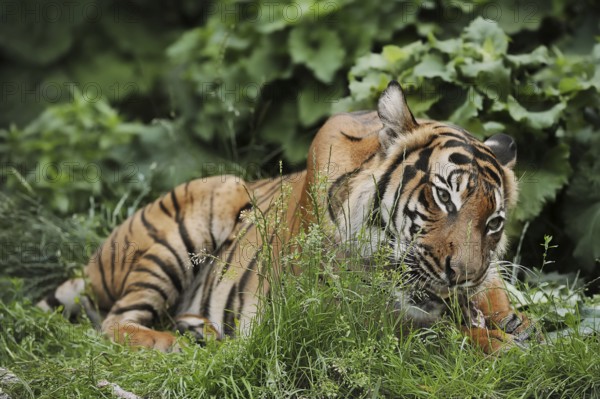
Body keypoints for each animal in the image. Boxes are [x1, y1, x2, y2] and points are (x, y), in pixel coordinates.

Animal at [37, 80, 536, 354]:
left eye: (493, 223)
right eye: (443, 196)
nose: (462, 276)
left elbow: (496, 306)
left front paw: (515, 327)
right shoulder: (346, 315)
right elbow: (442, 337)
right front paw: (504, 347)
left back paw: (200, 333)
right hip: (205, 207)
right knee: (115, 322)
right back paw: (174, 344)